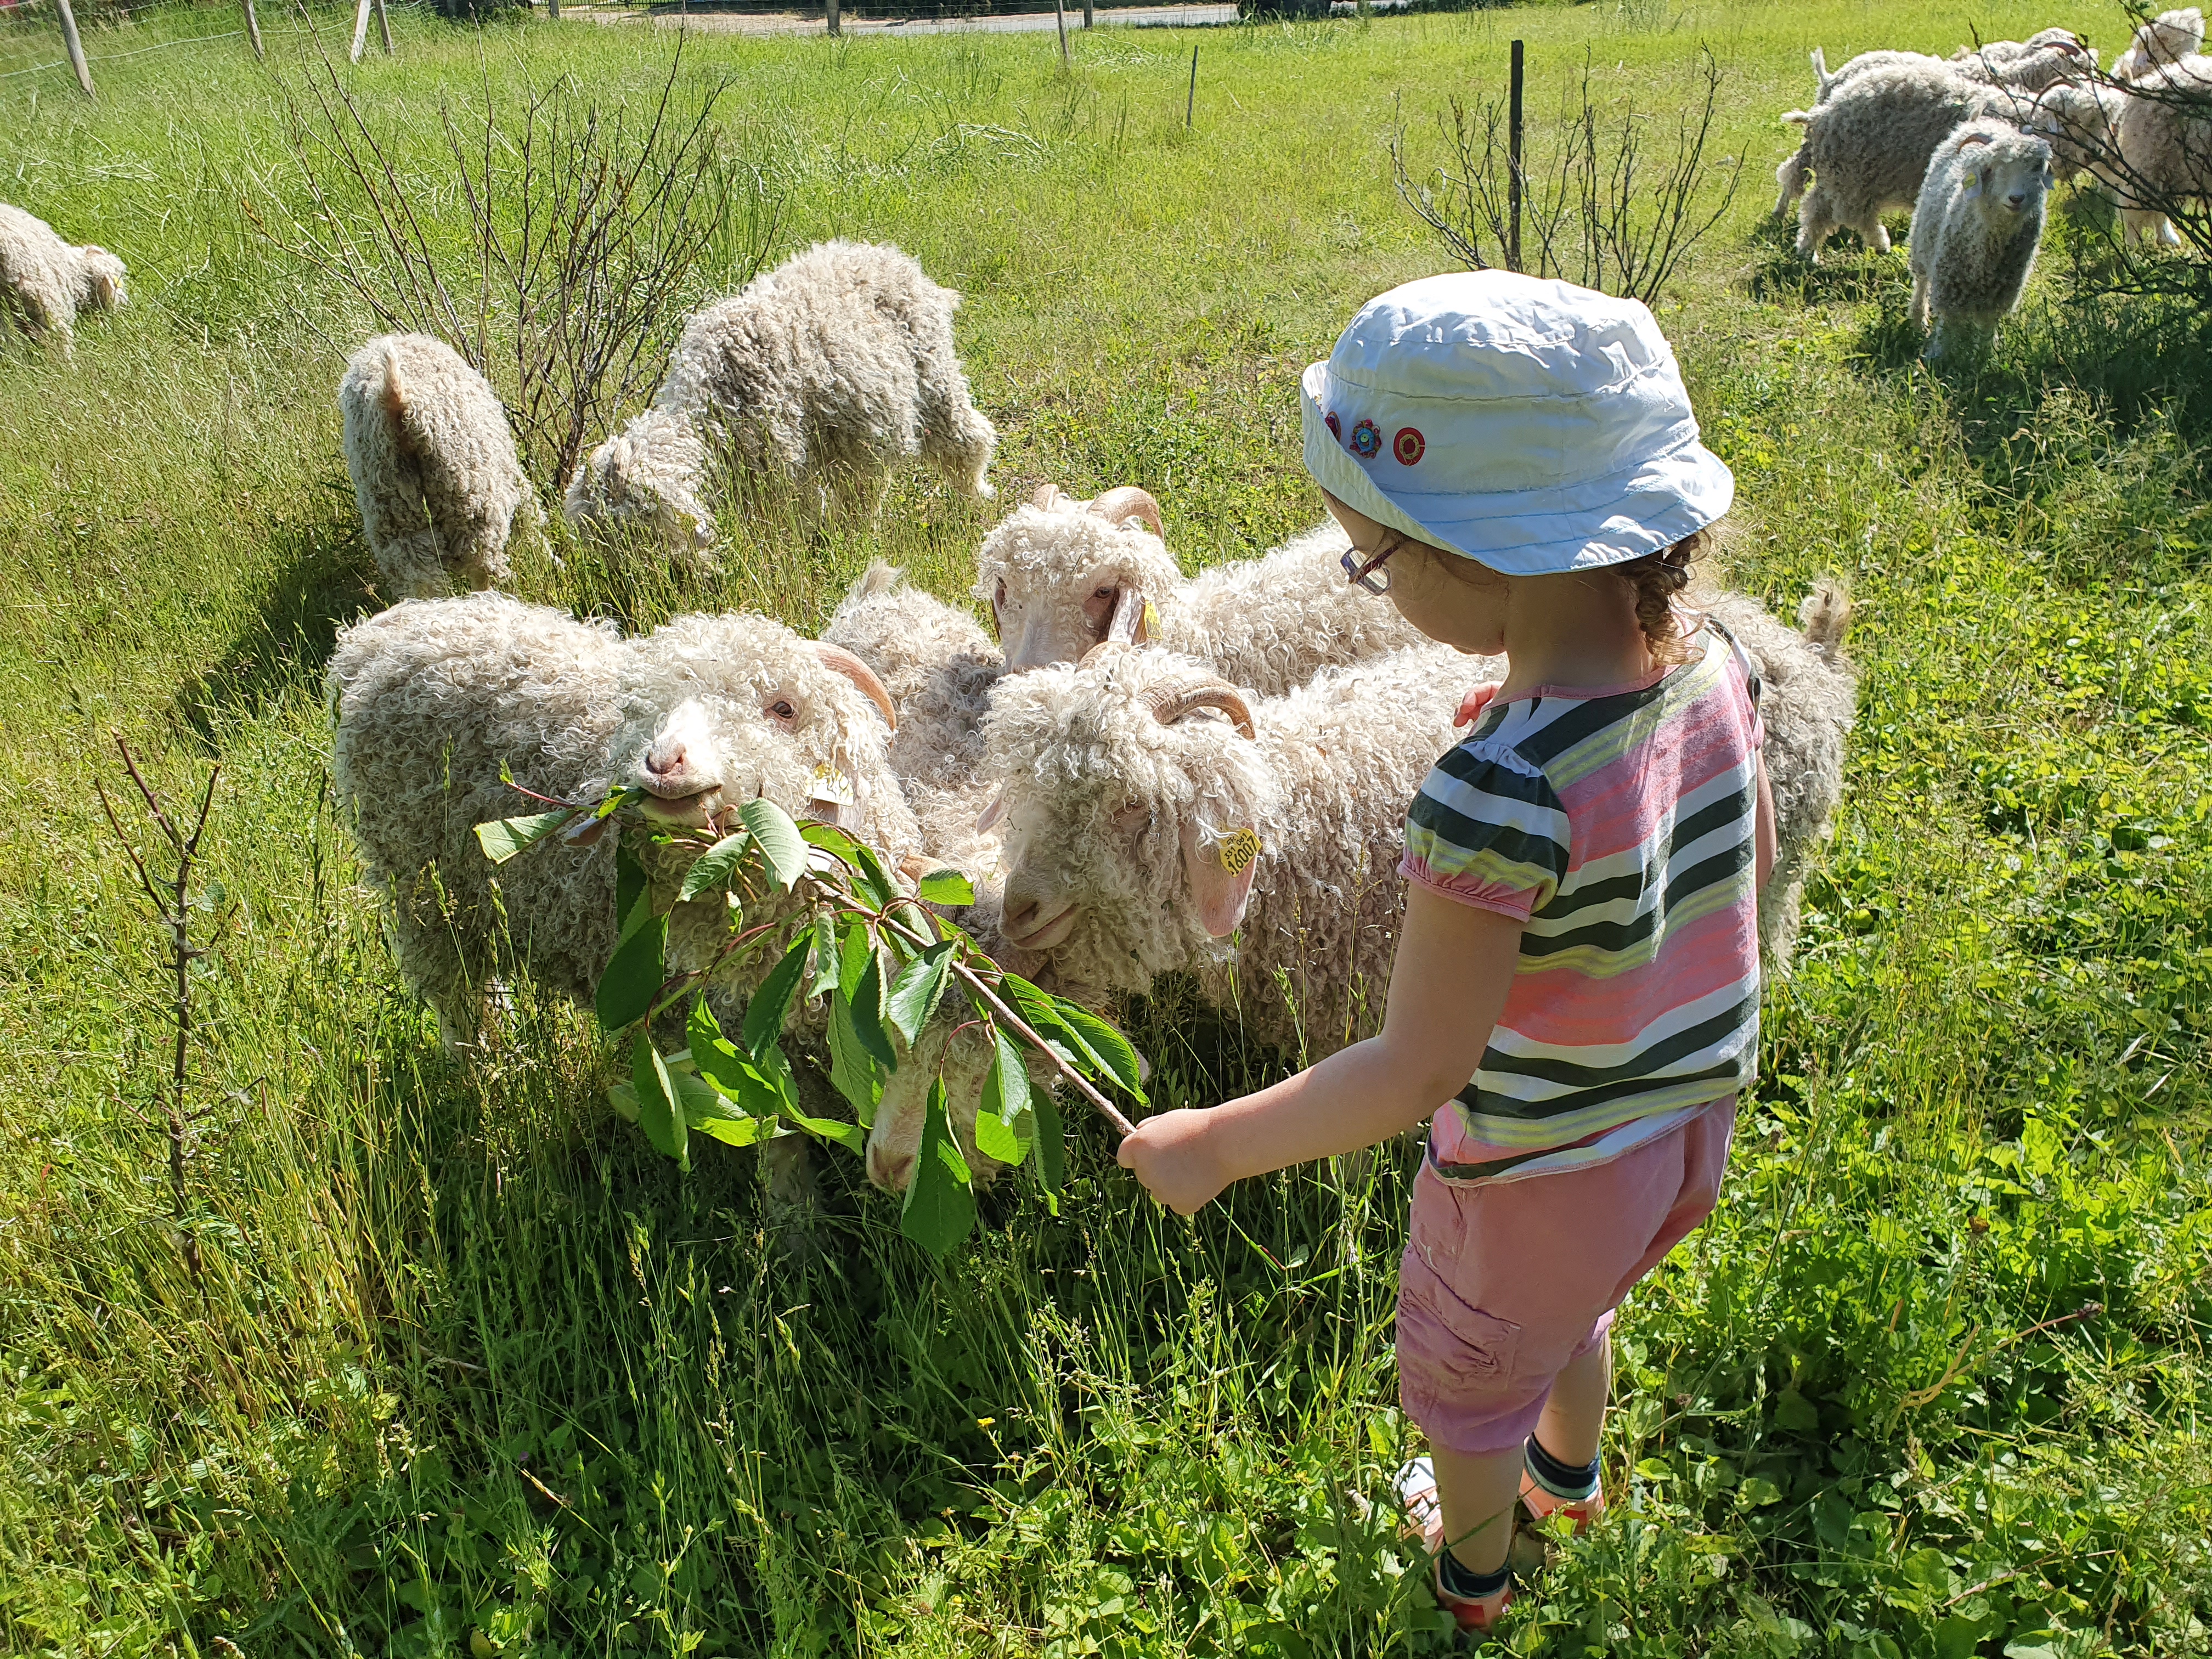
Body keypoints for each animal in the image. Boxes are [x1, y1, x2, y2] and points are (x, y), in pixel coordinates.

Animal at [340, 334, 539, 601]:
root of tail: (396, 399)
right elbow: (530, 514)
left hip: (393, 508)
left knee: (420, 580)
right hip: (472, 499)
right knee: (480, 567)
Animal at [562, 240, 995, 555]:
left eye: (636, 528)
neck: (712, 405)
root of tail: (901, 263)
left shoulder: (779, 456)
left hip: (934, 376)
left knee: (967, 439)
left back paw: (973, 500)